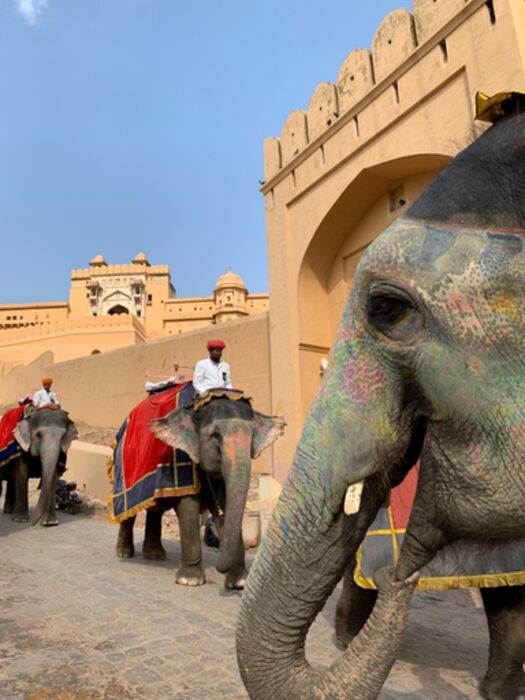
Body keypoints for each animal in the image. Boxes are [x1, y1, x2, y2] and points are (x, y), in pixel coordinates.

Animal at [115, 391, 285, 590]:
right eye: (216, 436)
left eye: (252, 436)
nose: (219, 569)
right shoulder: (184, 464)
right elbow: (189, 507)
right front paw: (190, 580)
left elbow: (226, 508)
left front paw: (239, 583)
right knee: (129, 512)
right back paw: (124, 553)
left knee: (156, 510)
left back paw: (155, 555)